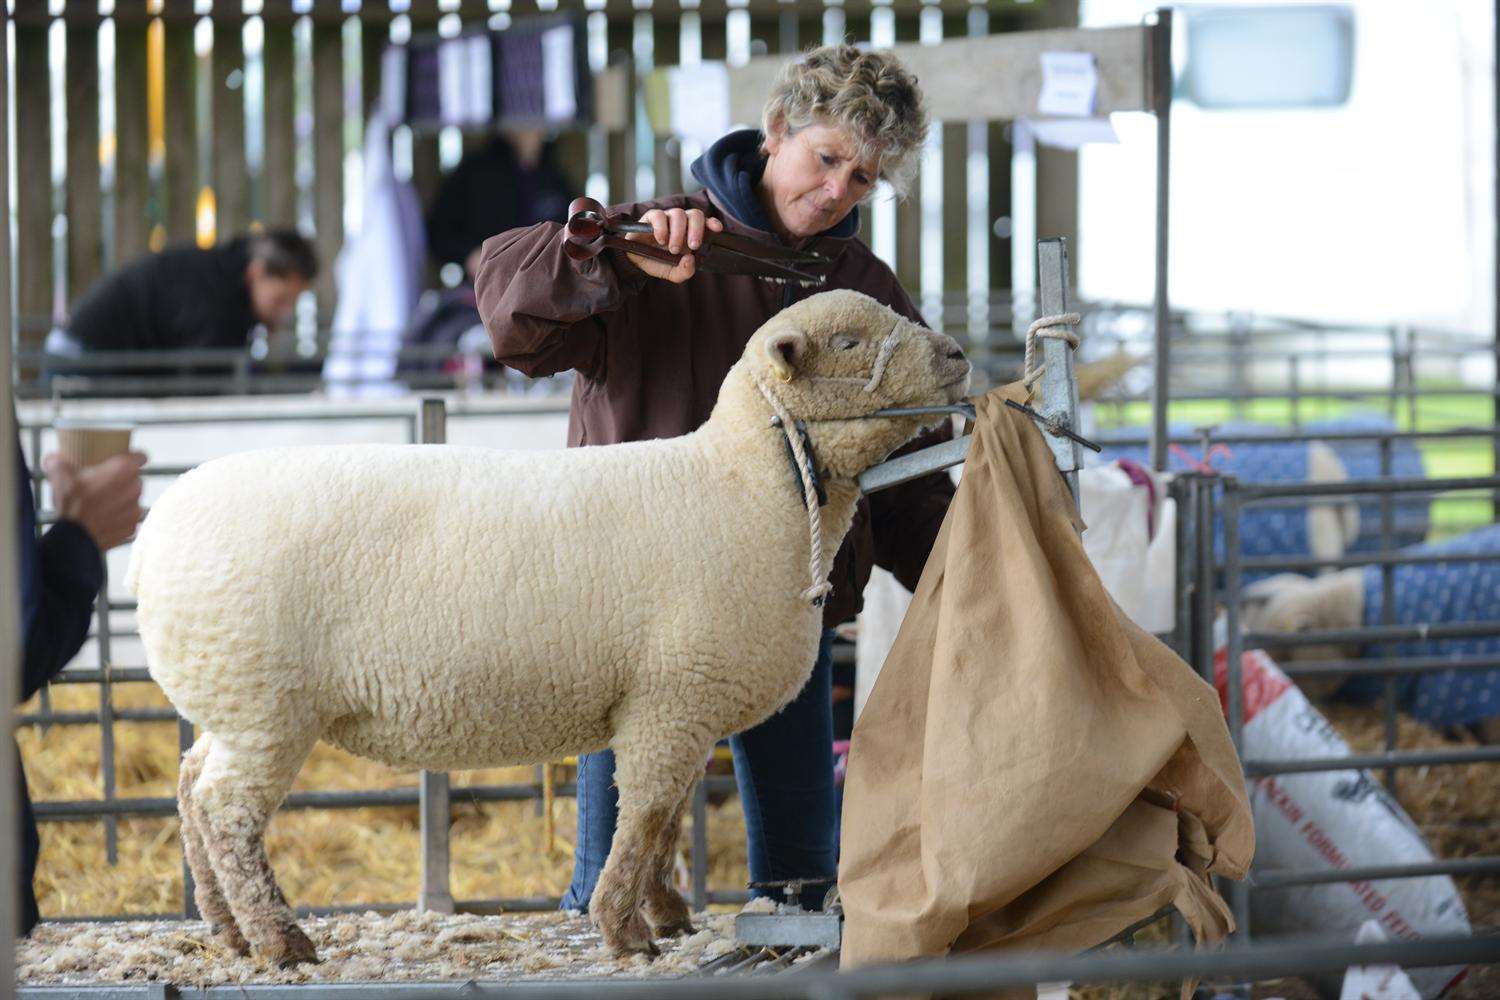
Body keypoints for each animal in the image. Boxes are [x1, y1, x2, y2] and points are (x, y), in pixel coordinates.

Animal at [132, 290, 972, 971]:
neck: (748, 487)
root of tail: (151, 537)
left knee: (190, 788)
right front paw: (624, 930)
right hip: (264, 701)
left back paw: (227, 931)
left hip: (232, 700)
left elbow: (666, 819)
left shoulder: (681, 706)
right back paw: (279, 940)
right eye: (851, 341)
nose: (960, 355)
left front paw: (665, 914)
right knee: (227, 812)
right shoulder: (673, 699)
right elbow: (644, 815)